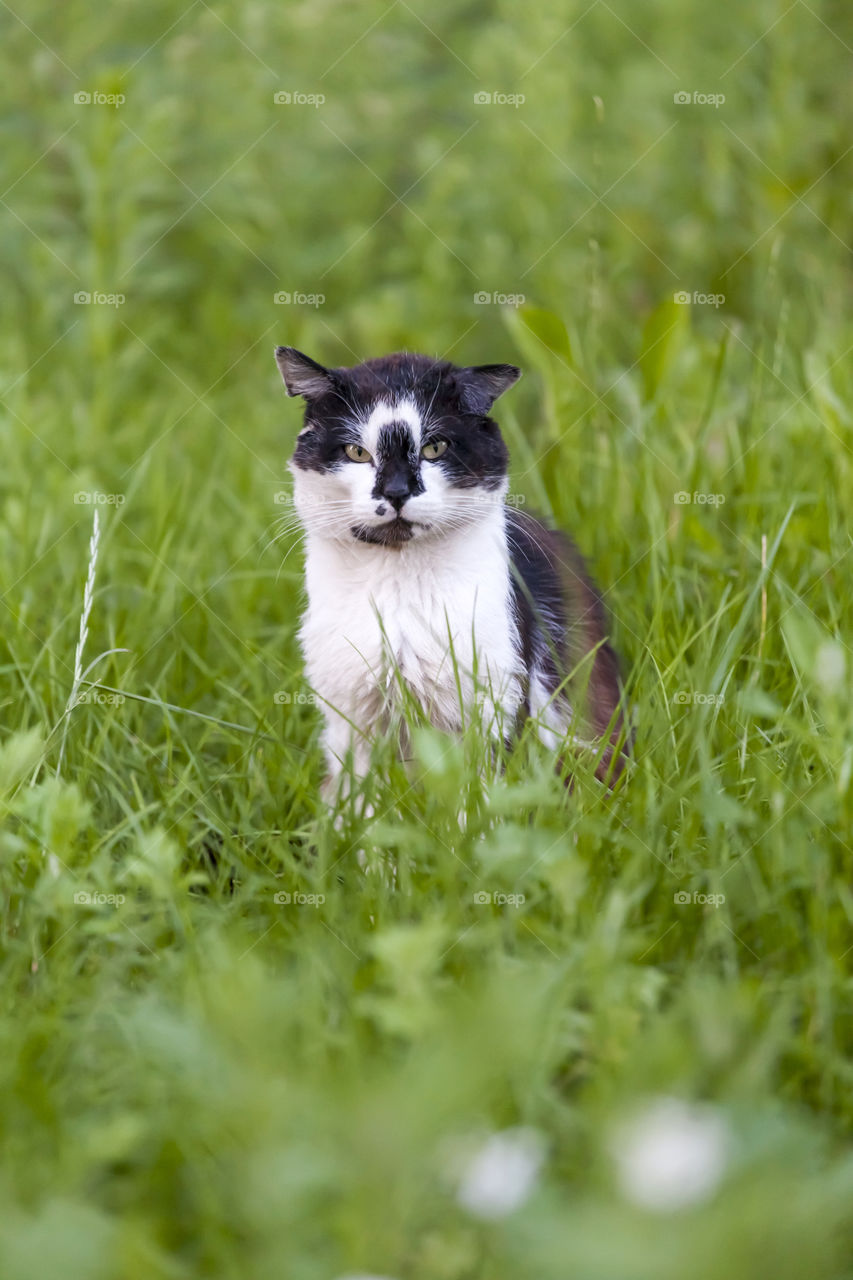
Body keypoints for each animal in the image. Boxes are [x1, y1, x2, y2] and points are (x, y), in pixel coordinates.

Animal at [272, 345, 625, 793]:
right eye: (357, 453)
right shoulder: (353, 717)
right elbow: (361, 795)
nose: (396, 492)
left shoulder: (493, 707)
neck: (399, 587)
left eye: (435, 448)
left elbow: (477, 796)